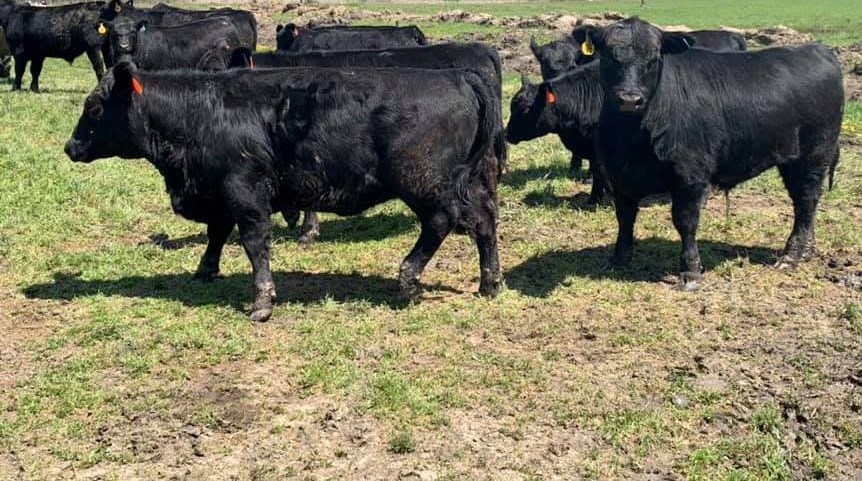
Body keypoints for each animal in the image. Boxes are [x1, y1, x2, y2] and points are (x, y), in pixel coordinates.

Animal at [64, 61, 503, 322]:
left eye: (95, 108)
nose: (70, 147)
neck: (199, 115)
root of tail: (459, 76)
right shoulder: (223, 195)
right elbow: (216, 233)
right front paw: (205, 270)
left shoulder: (247, 195)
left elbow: (254, 245)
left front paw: (262, 302)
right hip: (466, 183)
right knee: (484, 221)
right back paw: (490, 283)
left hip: (424, 183)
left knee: (441, 222)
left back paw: (408, 277)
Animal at [571, 18, 843, 290]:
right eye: (609, 56)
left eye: (654, 59)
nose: (630, 99)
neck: (633, 136)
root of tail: (818, 49)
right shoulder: (618, 175)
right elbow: (625, 217)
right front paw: (619, 258)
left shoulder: (691, 176)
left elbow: (685, 220)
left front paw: (690, 270)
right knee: (806, 204)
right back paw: (807, 250)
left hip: (813, 155)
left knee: (806, 201)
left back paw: (792, 255)